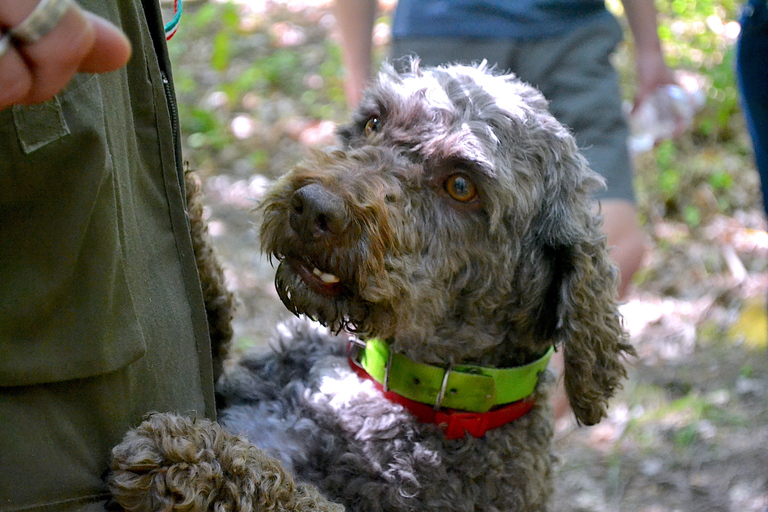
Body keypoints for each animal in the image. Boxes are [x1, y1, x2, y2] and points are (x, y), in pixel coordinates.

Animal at [111, 62, 632, 512]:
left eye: (461, 186)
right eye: (373, 122)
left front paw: (194, 459)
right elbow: (212, 308)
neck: (389, 381)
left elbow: (289, 493)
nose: (311, 207)